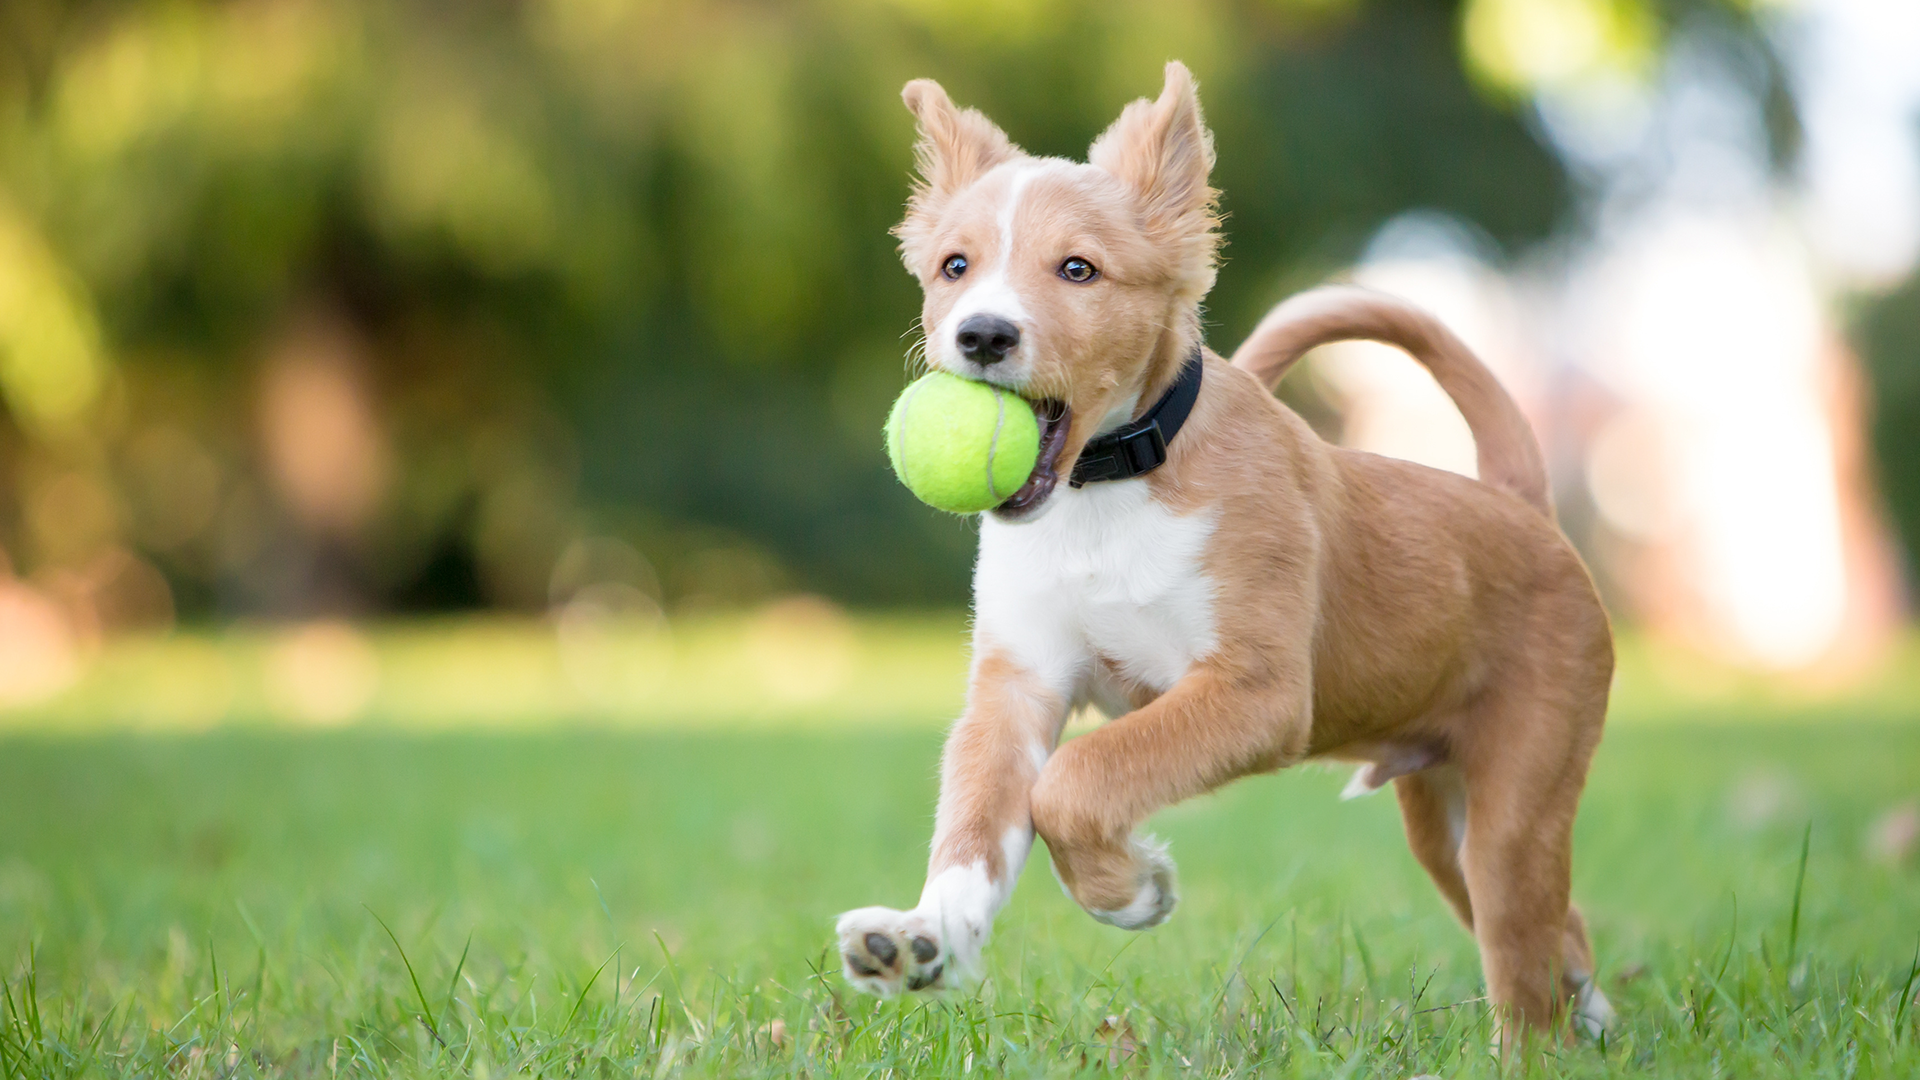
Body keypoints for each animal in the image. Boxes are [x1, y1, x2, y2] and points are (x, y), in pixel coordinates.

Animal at [840, 62, 1620, 1037]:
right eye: (955, 266)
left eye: (1078, 269)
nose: (982, 334)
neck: (1105, 495)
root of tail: (1519, 505)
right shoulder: (1017, 688)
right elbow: (976, 823)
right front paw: (923, 936)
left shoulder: (1256, 690)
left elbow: (1076, 780)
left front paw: (1131, 892)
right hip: (1443, 821)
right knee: (1564, 932)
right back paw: (1599, 1023)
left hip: (1517, 803)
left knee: (1525, 968)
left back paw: (1543, 1044)